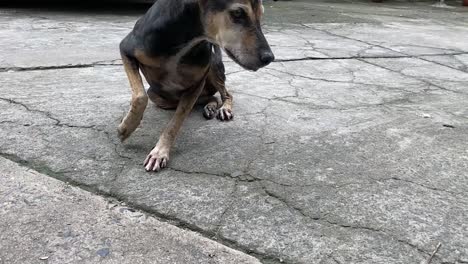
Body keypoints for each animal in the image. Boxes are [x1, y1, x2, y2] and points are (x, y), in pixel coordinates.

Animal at [117, 0, 276, 171]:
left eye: (261, 14)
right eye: (238, 13)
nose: (269, 58)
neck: (188, 37)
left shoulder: (197, 83)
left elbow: (176, 122)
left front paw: (159, 152)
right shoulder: (126, 49)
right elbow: (140, 96)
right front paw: (127, 127)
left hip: (212, 66)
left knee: (225, 95)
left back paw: (222, 108)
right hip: (157, 94)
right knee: (204, 98)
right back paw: (209, 107)